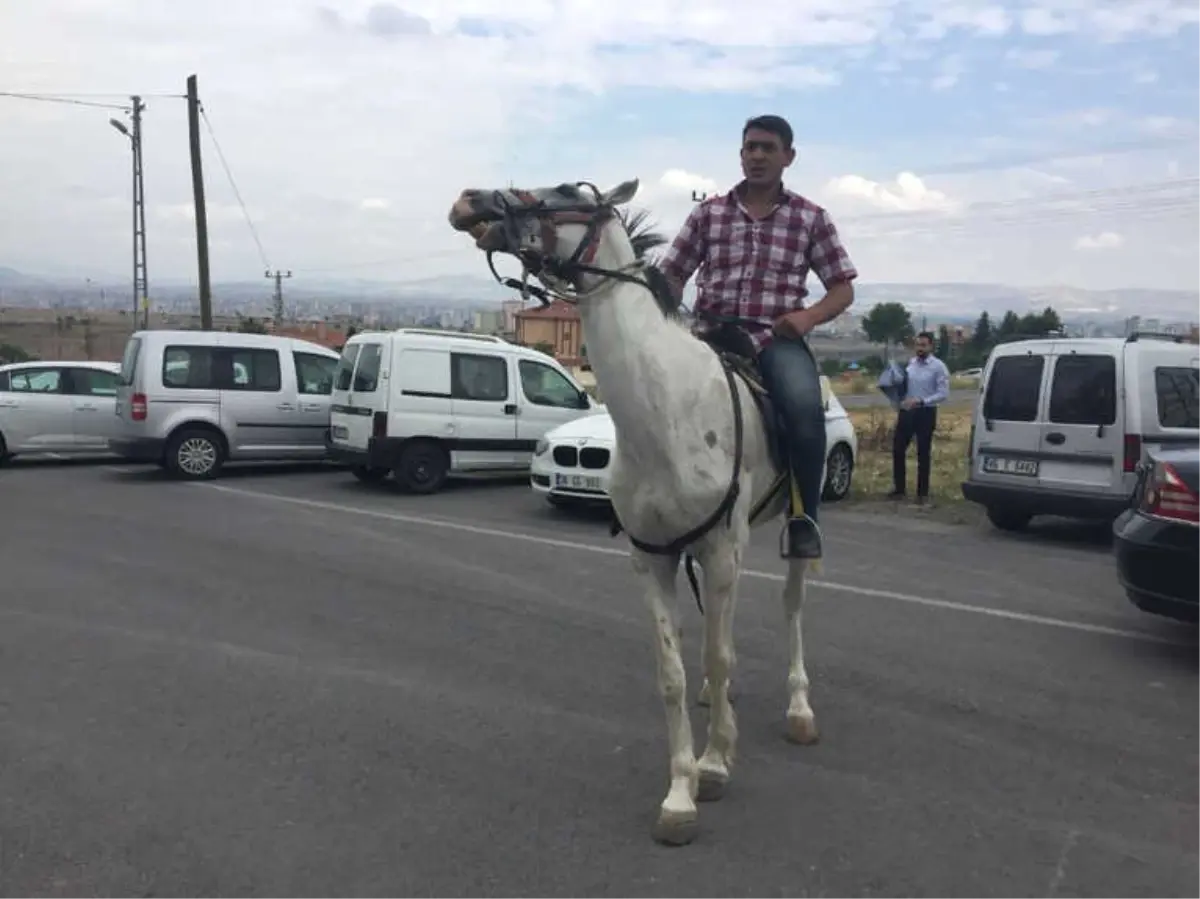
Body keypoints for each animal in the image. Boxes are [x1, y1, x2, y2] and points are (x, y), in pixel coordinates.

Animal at [446, 178, 820, 844]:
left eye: (563, 191)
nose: (471, 201)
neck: (663, 411)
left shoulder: (722, 550)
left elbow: (720, 653)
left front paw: (715, 763)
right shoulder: (654, 557)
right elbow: (674, 671)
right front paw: (681, 792)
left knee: (791, 605)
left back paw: (799, 708)